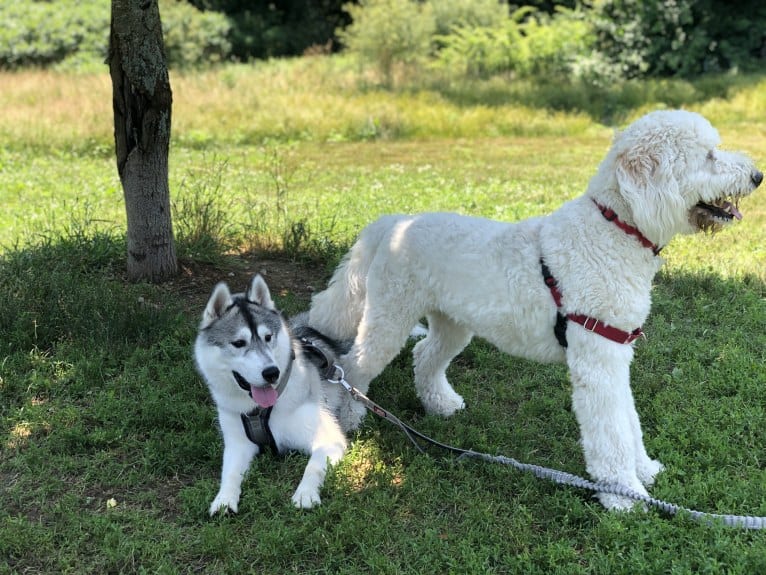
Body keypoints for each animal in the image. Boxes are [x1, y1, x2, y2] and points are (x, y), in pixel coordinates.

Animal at [308, 110, 764, 510]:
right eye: (709, 155)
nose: (758, 176)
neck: (614, 231)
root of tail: (395, 222)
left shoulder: (616, 352)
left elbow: (628, 420)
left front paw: (644, 470)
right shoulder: (597, 361)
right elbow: (612, 430)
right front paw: (623, 496)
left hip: (452, 323)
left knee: (424, 356)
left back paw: (441, 404)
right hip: (390, 316)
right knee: (356, 365)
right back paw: (351, 419)